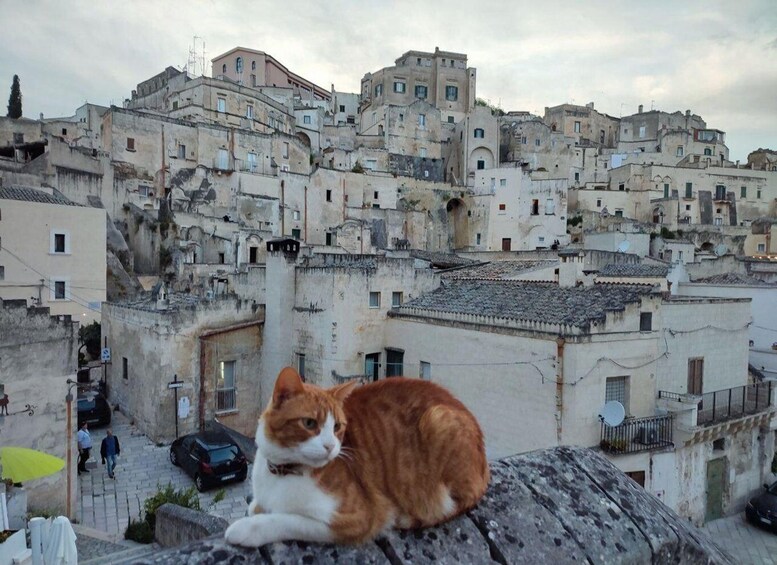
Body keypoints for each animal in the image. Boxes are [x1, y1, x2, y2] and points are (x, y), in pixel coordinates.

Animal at [224, 366, 488, 548]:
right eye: (309, 423)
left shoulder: (355, 518)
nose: (331, 446)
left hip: (439, 419)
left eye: (337, 427)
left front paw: (244, 530)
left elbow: (285, 520)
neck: (282, 472)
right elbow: (256, 507)